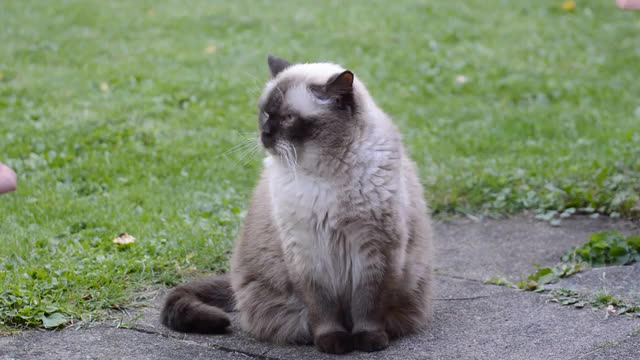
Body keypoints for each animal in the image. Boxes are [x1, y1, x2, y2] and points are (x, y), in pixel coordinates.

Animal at [162, 55, 436, 354]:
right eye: (265, 114)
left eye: (288, 118)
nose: (264, 134)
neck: (324, 173)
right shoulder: (307, 252)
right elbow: (323, 309)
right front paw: (333, 343)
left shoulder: (374, 249)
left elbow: (368, 305)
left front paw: (369, 342)